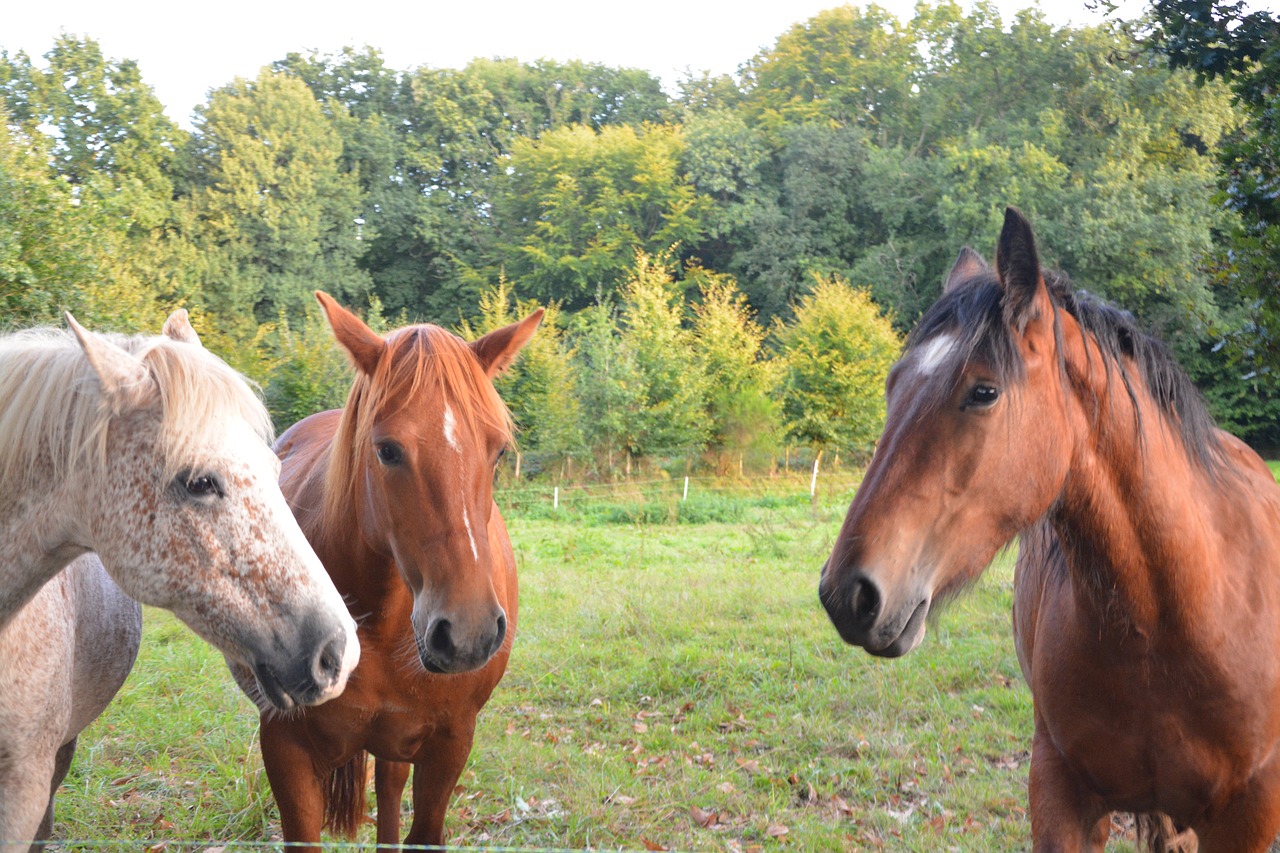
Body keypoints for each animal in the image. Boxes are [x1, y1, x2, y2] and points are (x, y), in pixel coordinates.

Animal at [819, 207, 1280, 850]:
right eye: (893, 386)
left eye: (984, 391)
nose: (847, 594)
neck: (1175, 620)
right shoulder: (1060, 796)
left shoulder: (1248, 818)